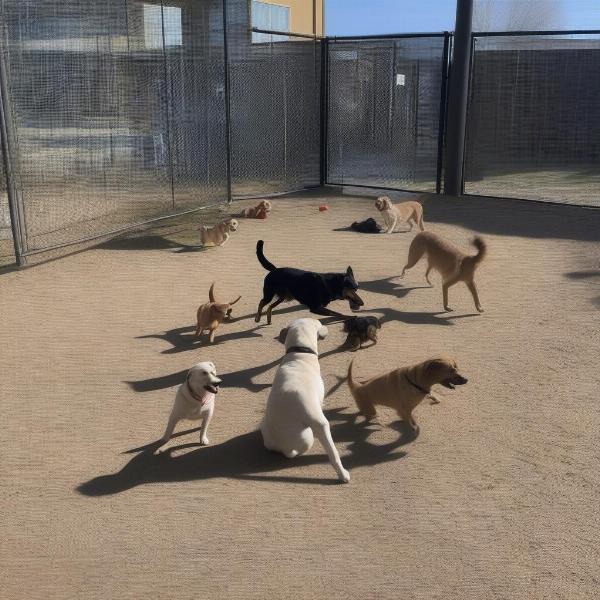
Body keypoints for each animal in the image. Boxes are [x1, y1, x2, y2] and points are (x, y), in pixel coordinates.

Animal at [258, 318, 350, 482]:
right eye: (320, 323)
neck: (299, 353)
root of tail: (283, 448)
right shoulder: (319, 422)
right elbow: (333, 453)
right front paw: (342, 474)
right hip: (309, 436)